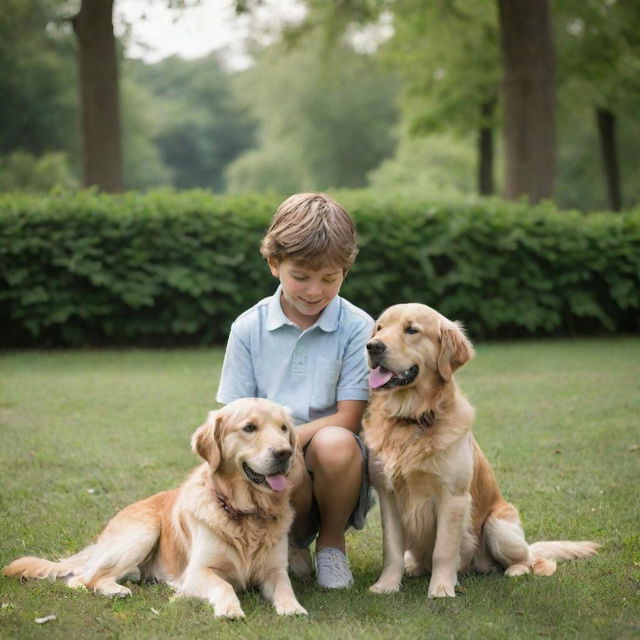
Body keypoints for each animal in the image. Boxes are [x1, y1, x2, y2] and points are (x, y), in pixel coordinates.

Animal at [2, 398, 308, 616]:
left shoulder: (274, 569)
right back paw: (115, 590)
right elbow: (223, 585)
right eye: (249, 428)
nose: (285, 453)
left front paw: (293, 608)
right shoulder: (197, 573)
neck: (247, 513)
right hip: (142, 533)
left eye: (283, 428)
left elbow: (285, 587)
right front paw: (229, 609)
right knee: (82, 579)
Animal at [364, 302, 600, 596]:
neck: (411, 419)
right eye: (380, 328)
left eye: (411, 330)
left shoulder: (453, 497)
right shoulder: (389, 496)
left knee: (532, 559)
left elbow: (444, 550)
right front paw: (386, 585)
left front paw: (441, 589)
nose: (372, 346)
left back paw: (515, 570)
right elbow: (392, 550)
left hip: (498, 527)